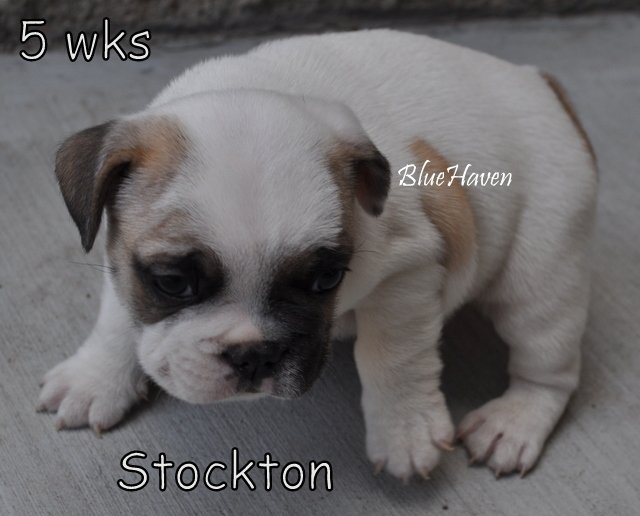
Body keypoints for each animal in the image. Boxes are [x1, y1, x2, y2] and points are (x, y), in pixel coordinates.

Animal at [37, 29, 597, 480]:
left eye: (326, 279)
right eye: (172, 283)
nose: (253, 352)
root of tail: (537, 82)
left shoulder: (408, 272)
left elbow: (393, 356)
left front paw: (405, 430)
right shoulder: (120, 253)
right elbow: (117, 318)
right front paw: (95, 379)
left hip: (540, 275)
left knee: (548, 363)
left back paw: (515, 422)